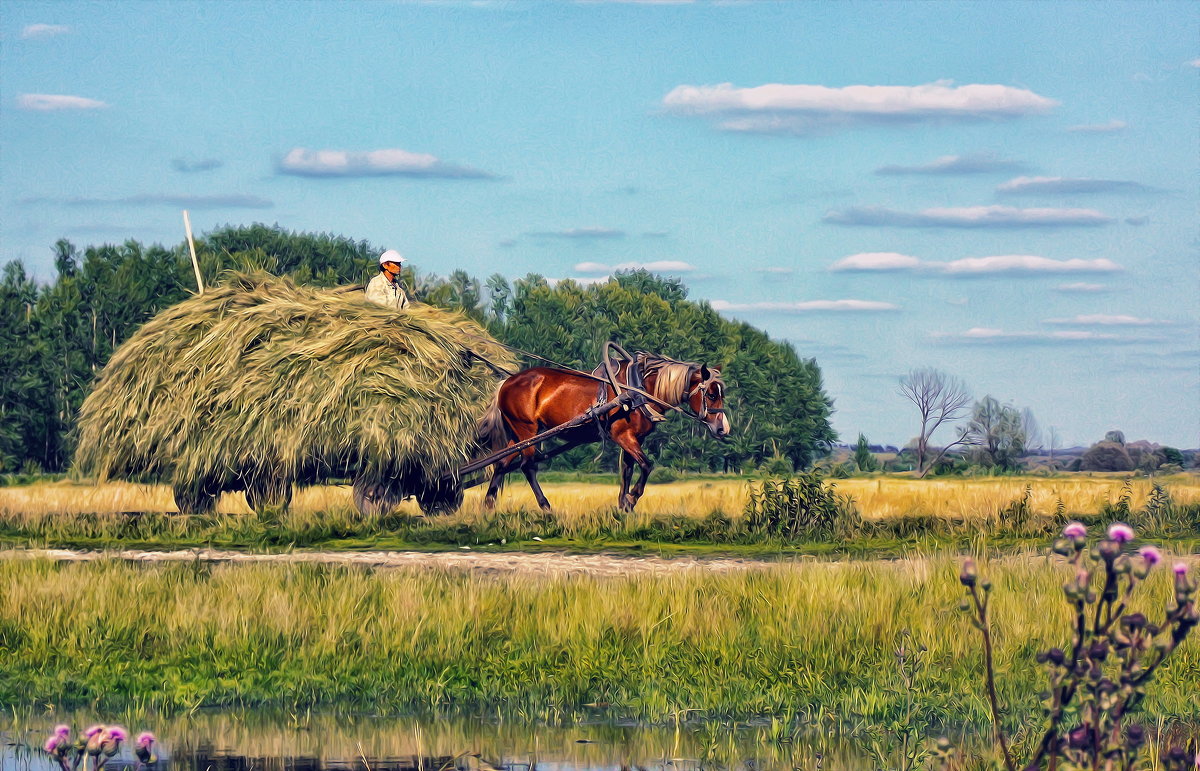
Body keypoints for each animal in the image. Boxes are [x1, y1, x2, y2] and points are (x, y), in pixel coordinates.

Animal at [472, 353, 724, 509]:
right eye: (711, 394)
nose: (722, 428)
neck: (636, 390)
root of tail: (506, 382)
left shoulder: (635, 438)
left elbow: (628, 470)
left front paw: (624, 505)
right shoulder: (624, 436)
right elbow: (646, 465)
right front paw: (632, 498)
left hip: (517, 433)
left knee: (501, 464)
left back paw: (488, 505)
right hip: (527, 430)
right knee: (528, 466)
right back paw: (546, 507)